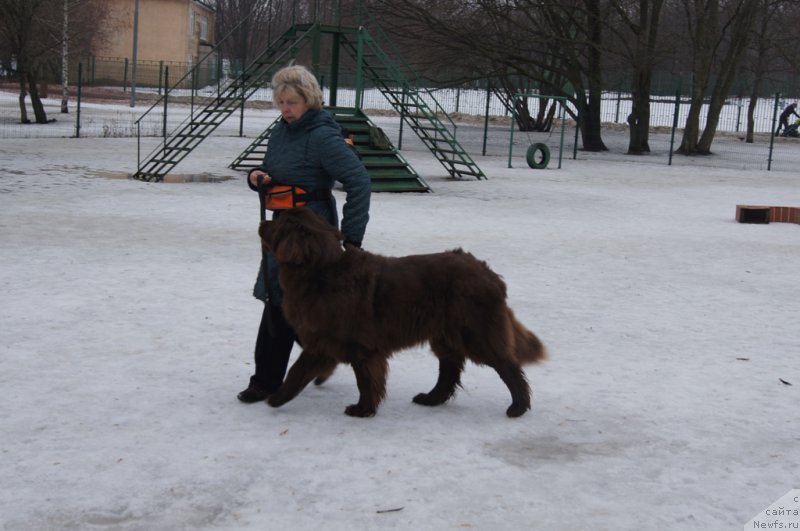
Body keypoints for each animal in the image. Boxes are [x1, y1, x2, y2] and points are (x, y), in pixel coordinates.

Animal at [260, 208, 548, 420]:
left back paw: (518, 407)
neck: (320, 272)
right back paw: (430, 399)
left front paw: (362, 410)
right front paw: (277, 398)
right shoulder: (322, 341)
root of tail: (490, 274)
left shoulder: (360, 346)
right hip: (445, 334)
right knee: (449, 369)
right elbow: (297, 371)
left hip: (475, 332)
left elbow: (365, 380)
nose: (262, 222)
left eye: (279, 222)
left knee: (507, 365)